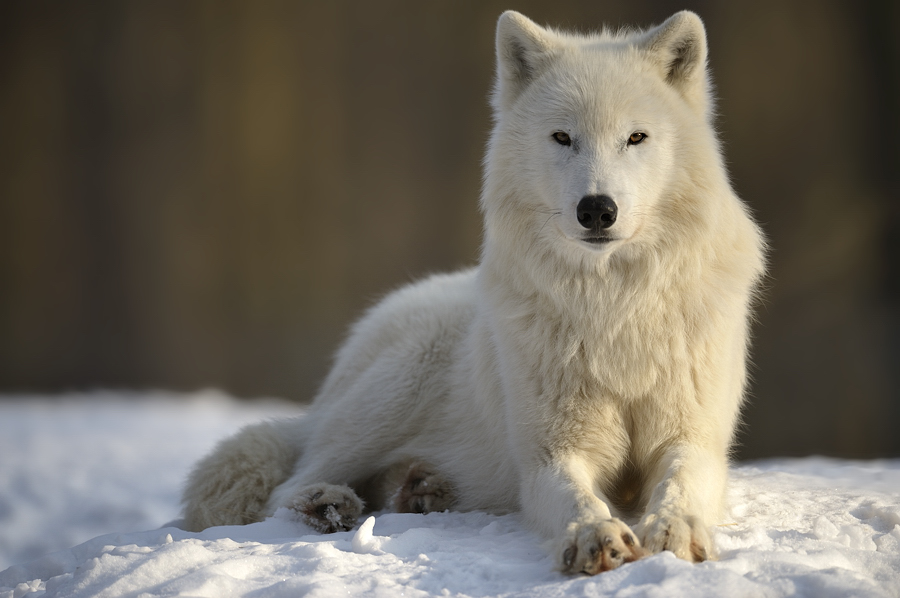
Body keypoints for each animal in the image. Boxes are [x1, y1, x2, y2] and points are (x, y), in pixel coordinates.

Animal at [185, 10, 768, 576]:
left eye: (636, 138)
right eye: (562, 138)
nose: (597, 209)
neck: (614, 308)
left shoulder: (693, 439)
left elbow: (680, 485)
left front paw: (674, 531)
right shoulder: (551, 454)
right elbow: (576, 498)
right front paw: (594, 537)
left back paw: (422, 491)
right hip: (391, 394)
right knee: (290, 484)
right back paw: (327, 504)